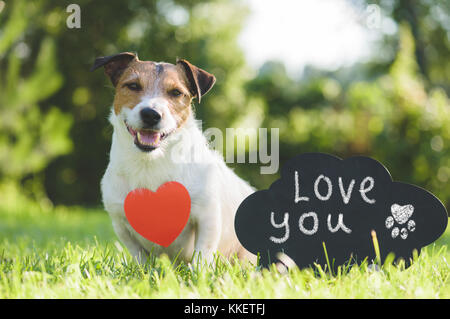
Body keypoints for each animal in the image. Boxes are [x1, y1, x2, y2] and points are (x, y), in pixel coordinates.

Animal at [90, 52, 256, 266]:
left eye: (176, 92)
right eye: (133, 86)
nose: (151, 114)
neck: (151, 163)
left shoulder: (207, 218)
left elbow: (202, 256)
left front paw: (198, 273)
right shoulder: (121, 223)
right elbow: (139, 256)